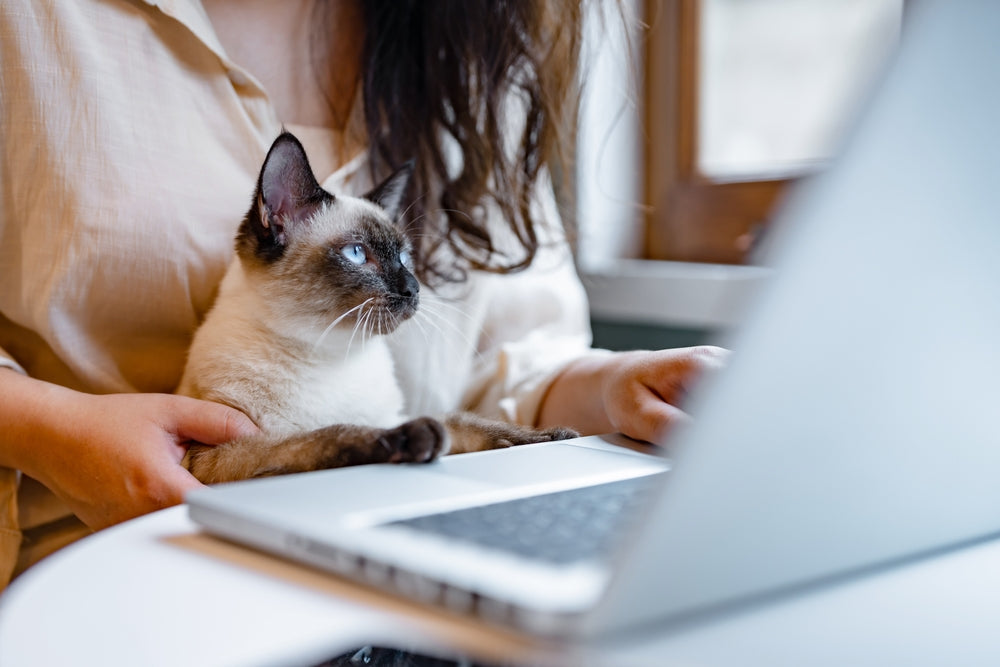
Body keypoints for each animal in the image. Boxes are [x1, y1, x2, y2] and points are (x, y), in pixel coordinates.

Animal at [176, 132, 576, 486]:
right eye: (357, 254)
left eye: (404, 257)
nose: (414, 288)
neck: (329, 356)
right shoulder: (221, 455)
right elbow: (327, 435)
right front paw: (411, 439)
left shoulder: (395, 413)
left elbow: (466, 422)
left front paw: (543, 438)